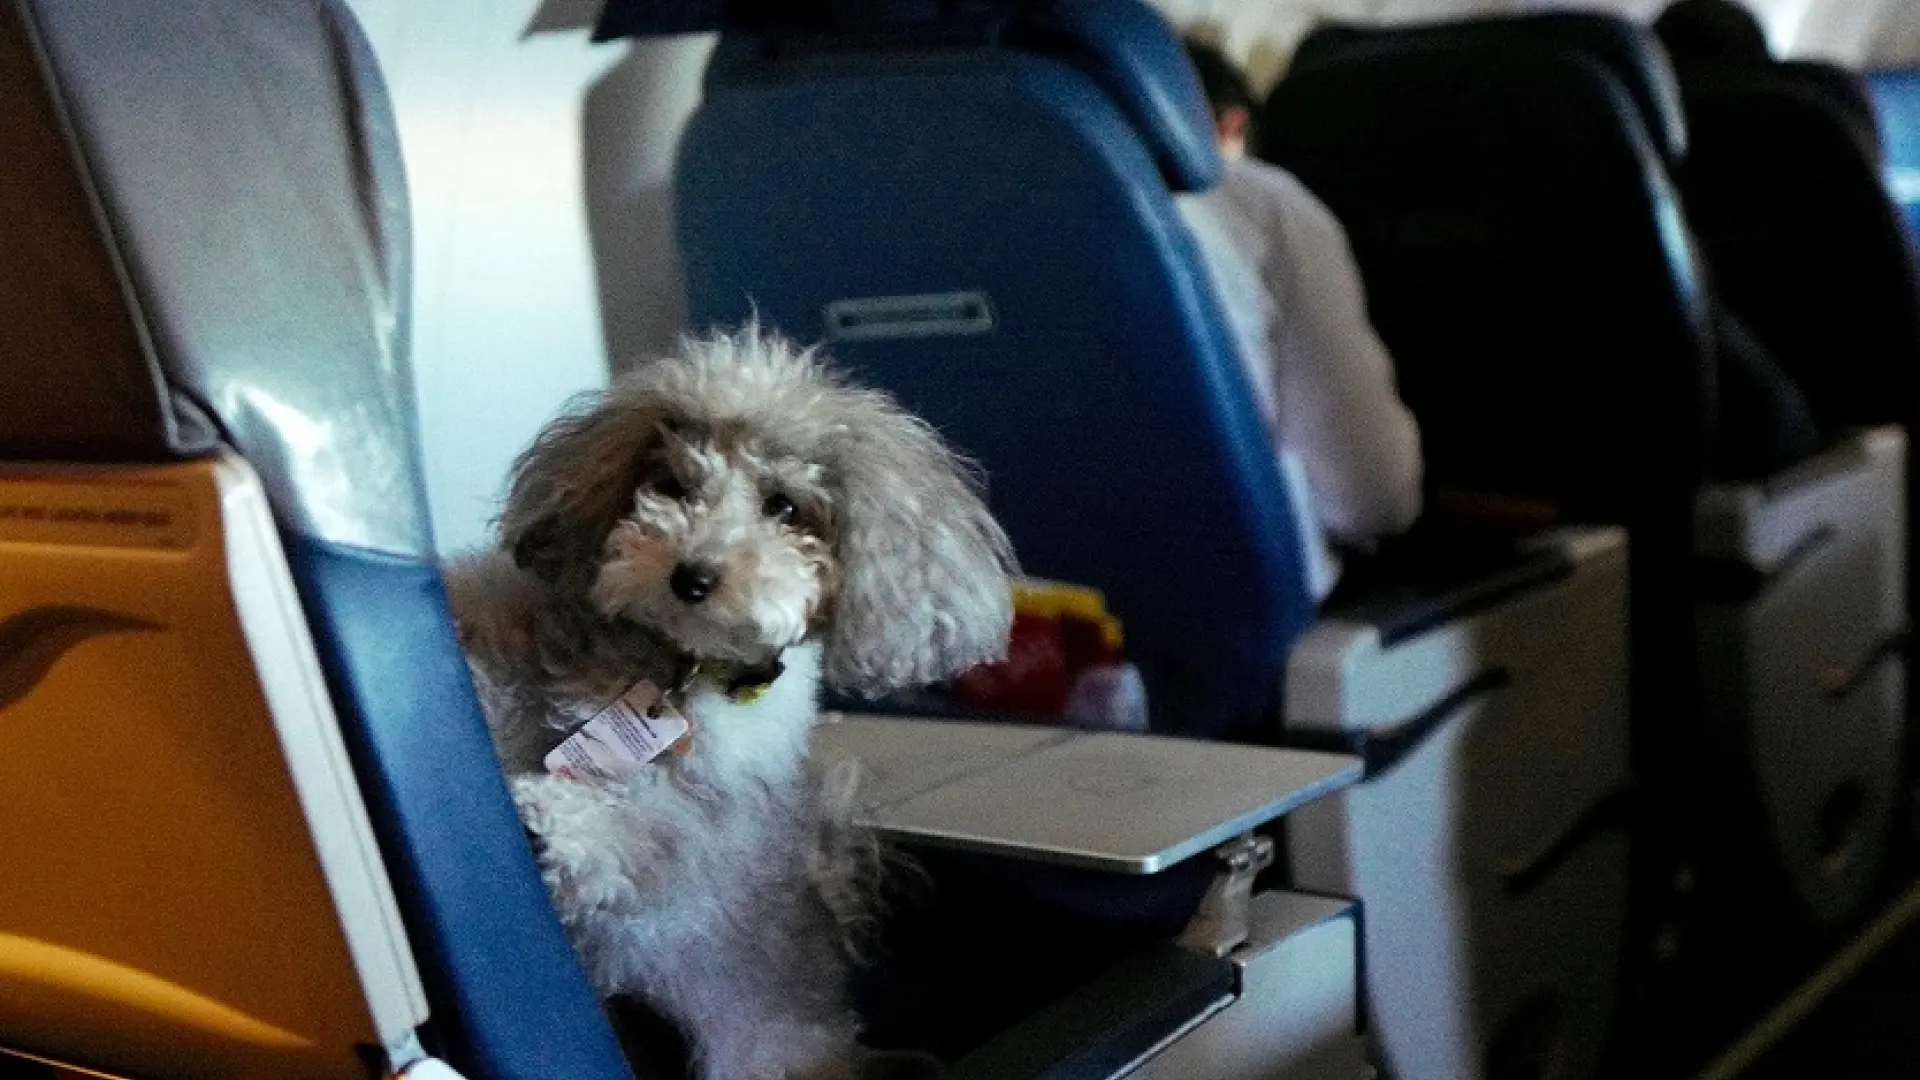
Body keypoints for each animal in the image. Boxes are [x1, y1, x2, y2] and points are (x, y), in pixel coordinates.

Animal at [443, 324, 1015, 1080]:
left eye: (785, 507)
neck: (681, 671)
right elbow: (495, 654)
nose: (690, 575)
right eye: (673, 484)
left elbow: (633, 836)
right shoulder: (529, 643)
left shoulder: (695, 833)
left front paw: (553, 822)